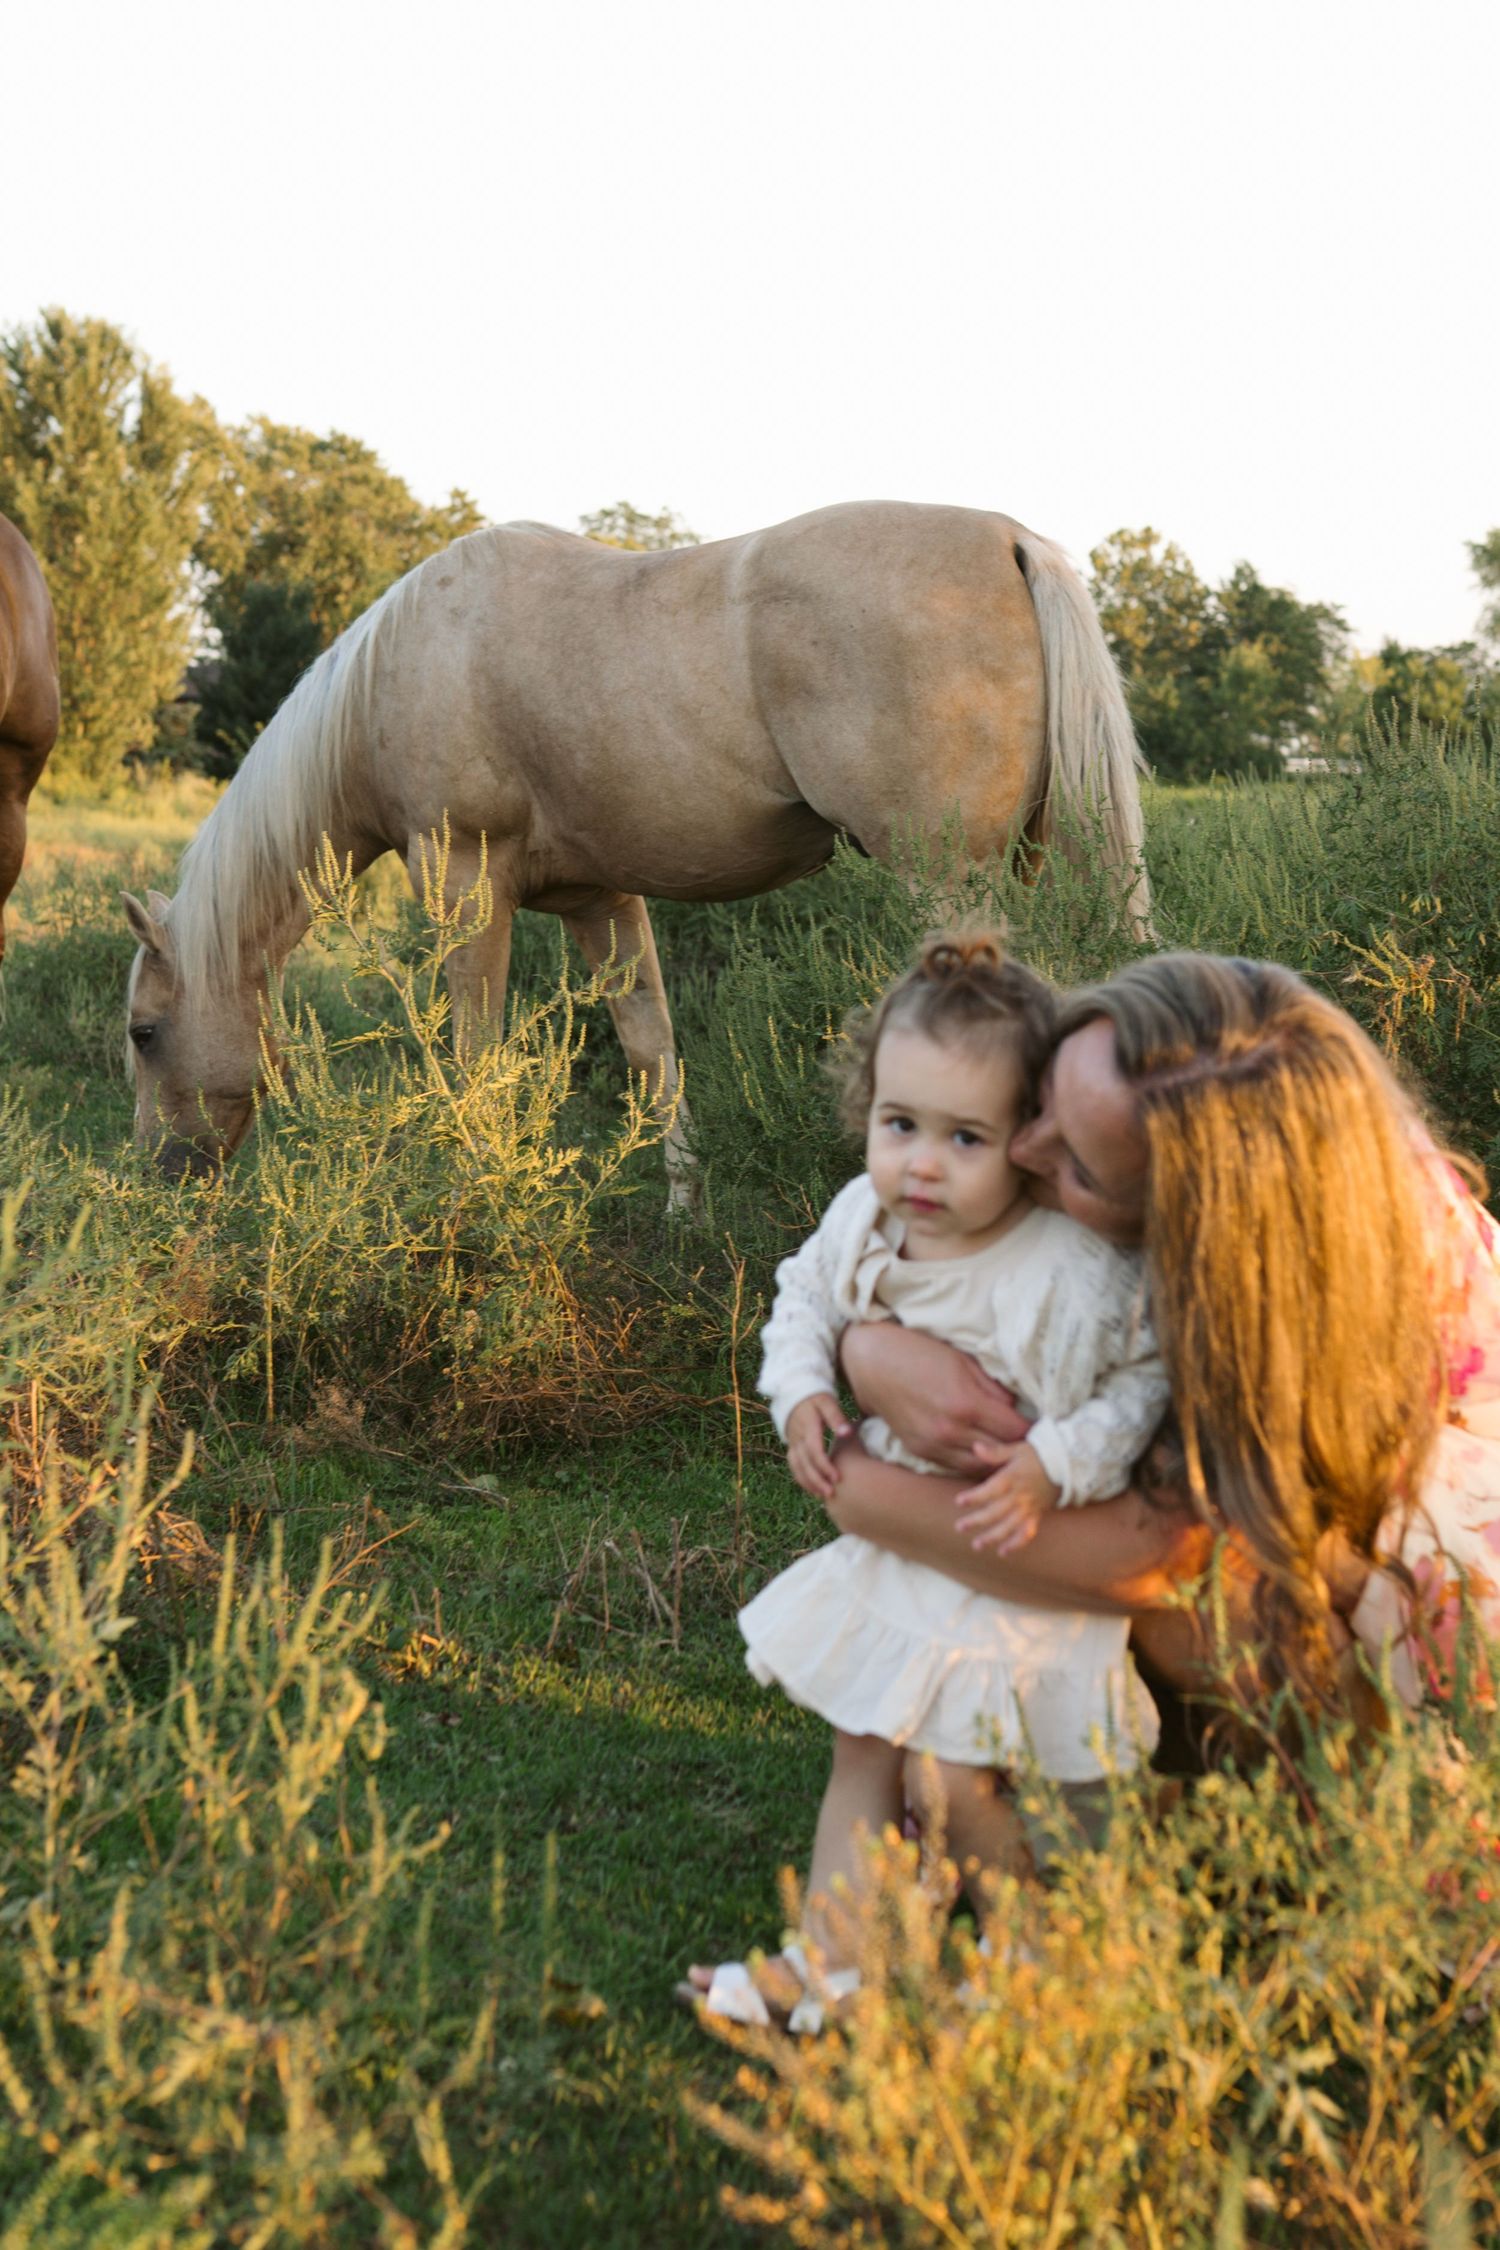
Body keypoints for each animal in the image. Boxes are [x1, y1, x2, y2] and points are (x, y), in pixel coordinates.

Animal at [123, 499, 1148, 1188]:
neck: (394, 675)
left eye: (143, 1032)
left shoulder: (467, 889)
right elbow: (651, 1047)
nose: (159, 1176)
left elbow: (477, 1056)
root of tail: (1010, 540)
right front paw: (683, 1205)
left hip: (950, 884)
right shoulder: (600, 901)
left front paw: (480, 1200)